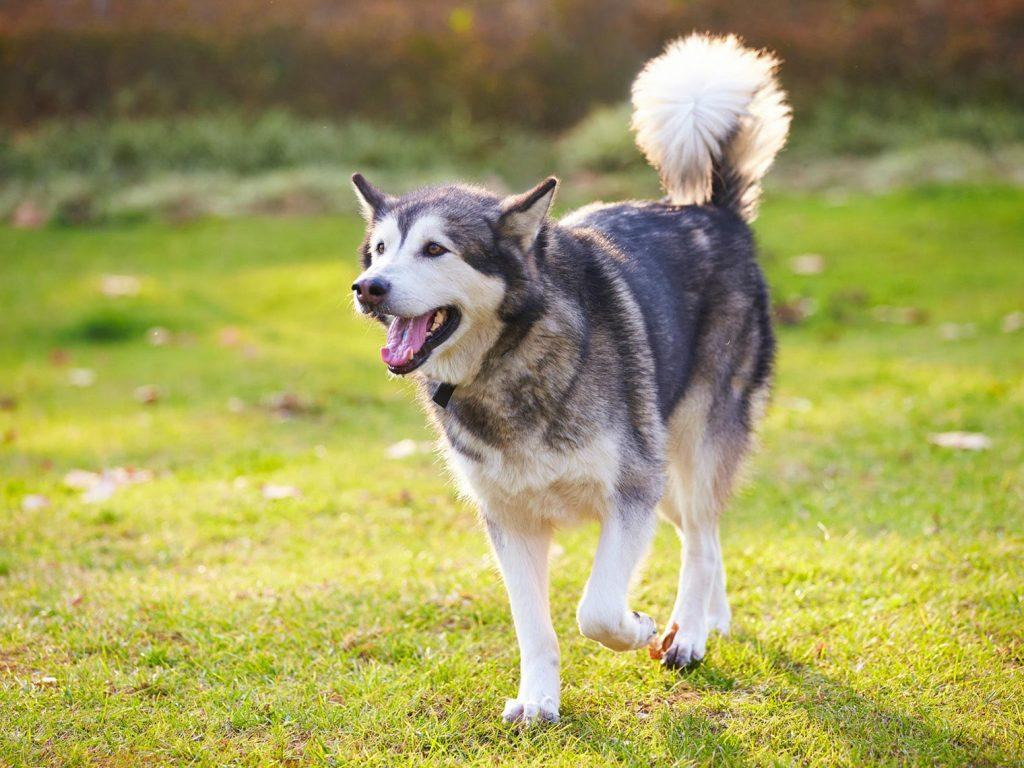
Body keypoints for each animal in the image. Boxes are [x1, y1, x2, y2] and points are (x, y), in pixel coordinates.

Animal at [352, 33, 790, 724]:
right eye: (378, 251)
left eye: (434, 249)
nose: (367, 288)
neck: (508, 363)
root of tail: (713, 213)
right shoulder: (510, 520)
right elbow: (535, 627)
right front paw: (538, 701)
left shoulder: (630, 491)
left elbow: (597, 610)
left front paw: (640, 628)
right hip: (666, 466)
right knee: (706, 532)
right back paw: (713, 618)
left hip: (691, 445)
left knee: (699, 538)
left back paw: (689, 633)